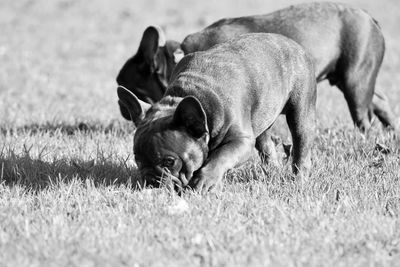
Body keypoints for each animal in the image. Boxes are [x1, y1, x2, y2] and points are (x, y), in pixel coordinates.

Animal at [115, 2, 396, 132]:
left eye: (126, 84)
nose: (120, 104)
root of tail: (370, 18)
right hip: (357, 79)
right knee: (380, 102)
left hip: (354, 82)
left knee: (363, 115)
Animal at [117, 33, 318, 193]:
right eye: (138, 160)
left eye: (169, 162)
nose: (151, 181)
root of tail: (291, 42)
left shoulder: (240, 141)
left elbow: (221, 157)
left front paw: (204, 182)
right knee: (266, 145)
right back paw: (273, 171)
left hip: (301, 114)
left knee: (301, 147)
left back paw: (298, 181)